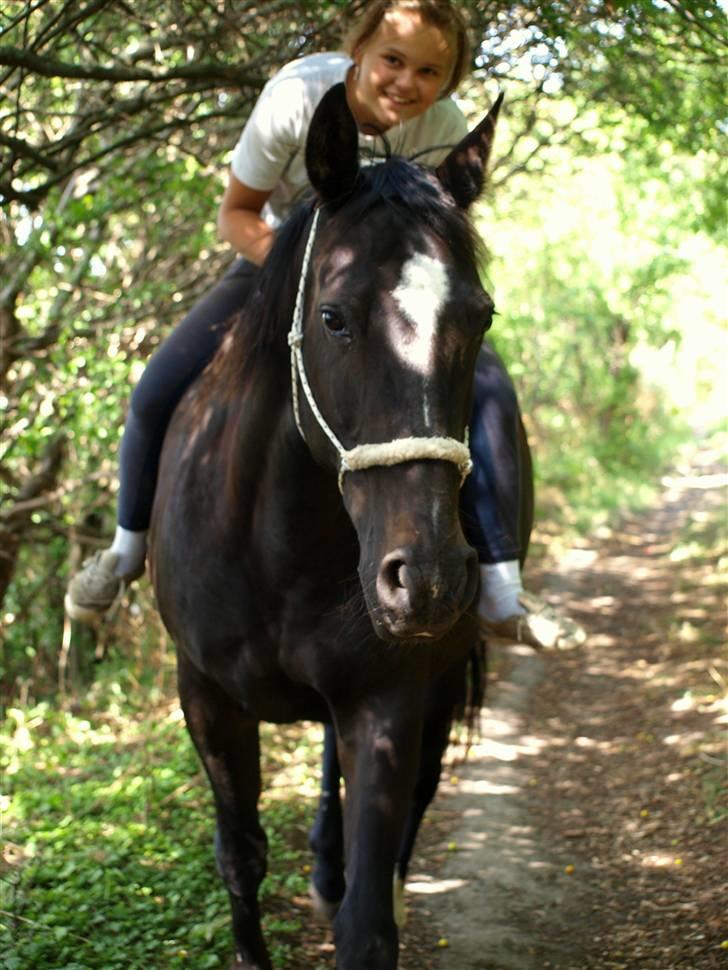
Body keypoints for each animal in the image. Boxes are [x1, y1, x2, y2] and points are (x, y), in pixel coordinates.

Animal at [151, 85, 532, 968]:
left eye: (482, 316)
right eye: (332, 317)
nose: (426, 578)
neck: (277, 547)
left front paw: (361, 892)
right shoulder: (205, 696)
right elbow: (240, 856)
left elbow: (368, 922)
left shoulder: (388, 700)